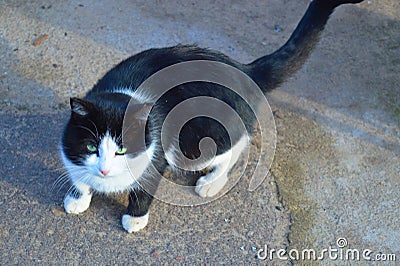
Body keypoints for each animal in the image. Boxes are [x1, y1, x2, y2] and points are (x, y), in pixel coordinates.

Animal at [60, 0, 366, 233]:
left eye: (122, 149)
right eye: (91, 147)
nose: (104, 170)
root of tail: (244, 70)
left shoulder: (157, 151)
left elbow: (146, 187)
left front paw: (135, 219)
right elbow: (78, 174)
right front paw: (77, 198)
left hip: (200, 137)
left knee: (236, 145)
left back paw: (211, 183)